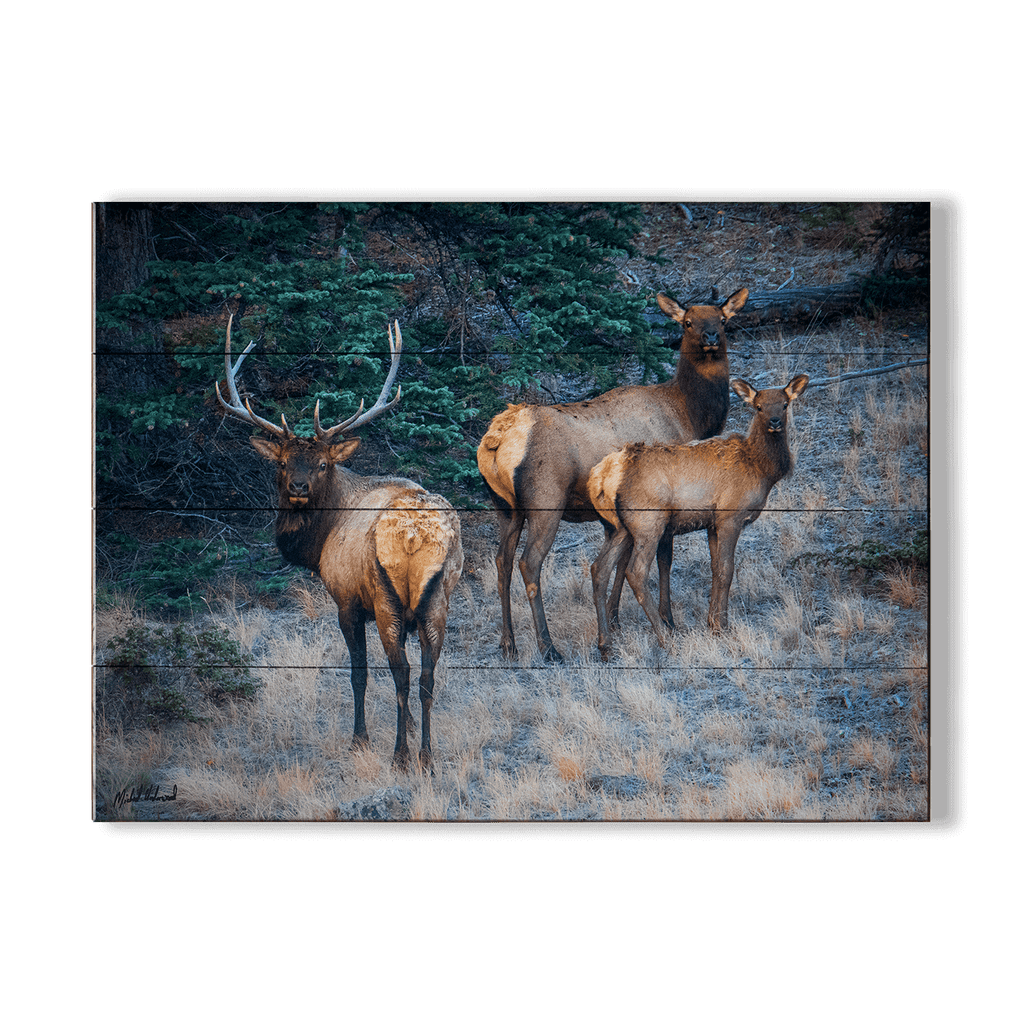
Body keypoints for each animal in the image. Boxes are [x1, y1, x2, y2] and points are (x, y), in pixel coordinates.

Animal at [215, 315, 464, 771]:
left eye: (322, 463)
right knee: (427, 675)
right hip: (439, 597)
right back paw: (426, 756)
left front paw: (359, 739)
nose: (298, 488)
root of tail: (417, 535)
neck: (319, 543)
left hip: (386, 599)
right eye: (282, 462)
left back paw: (400, 755)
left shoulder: (347, 598)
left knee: (401, 671)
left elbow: (358, 673)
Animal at [476, 286, 749, 663]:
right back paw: (548, 646)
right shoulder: (664, 497)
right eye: (688, 322)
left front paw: (615, 621)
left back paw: (509, 644)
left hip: (505, 507)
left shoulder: (617, 517)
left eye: (722, 319)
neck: (690, 414)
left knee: (501, 562)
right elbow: (664, 560)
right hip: (546, 499)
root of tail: (498, 439)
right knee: (529, 563)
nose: (710, 337)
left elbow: (616, 567)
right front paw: (667, 620)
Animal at [587, 373, 810, 660]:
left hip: (618, 527)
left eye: (784, 404)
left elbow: (715, 569)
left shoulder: (712, 523)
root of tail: (602, 478)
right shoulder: (730, 515)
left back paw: (605, 643)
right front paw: (722, 627)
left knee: (599, 568)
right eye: (758, 407)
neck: (761, 470)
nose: (774, 422)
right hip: (648, 521)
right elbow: (727, 569)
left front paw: (711, 623)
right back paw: (664, 636)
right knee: (635, 572)